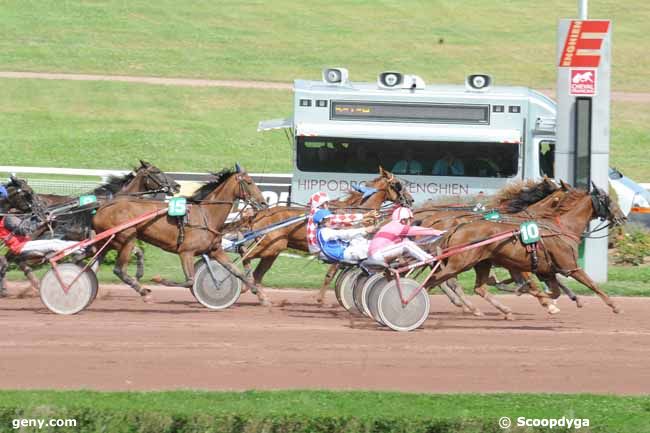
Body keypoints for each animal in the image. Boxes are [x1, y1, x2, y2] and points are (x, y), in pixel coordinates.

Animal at [90, 165, 268, 304]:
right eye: (249, 182)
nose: (263, 203)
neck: (206, 215)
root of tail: (103, 208)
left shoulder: (214, 250)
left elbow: (237, 272)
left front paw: (261, 296)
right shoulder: (186, 252)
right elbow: (189, 281)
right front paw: (159, 279)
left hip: (109, 242)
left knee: (93, 264)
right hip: (127, 238)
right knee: (119, 270)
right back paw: (144, 292)